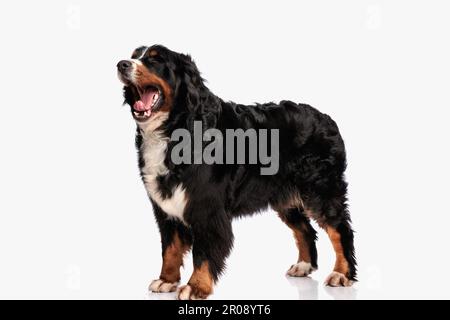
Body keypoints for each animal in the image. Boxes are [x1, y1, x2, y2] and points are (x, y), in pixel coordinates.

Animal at [118, 45, 356, 300]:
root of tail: (326, 118)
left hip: (321, 190)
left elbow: (203, 252)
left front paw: (196, 286)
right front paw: (166, 280)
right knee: (305, 230)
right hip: (286, 198)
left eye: (156, 59)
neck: (176, 128)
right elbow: (170, 248)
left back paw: (341, 274)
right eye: (134, 56)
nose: (122, 64)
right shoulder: (165, 207)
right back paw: (304, 265)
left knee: (340, 229)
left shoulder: (207, 209)